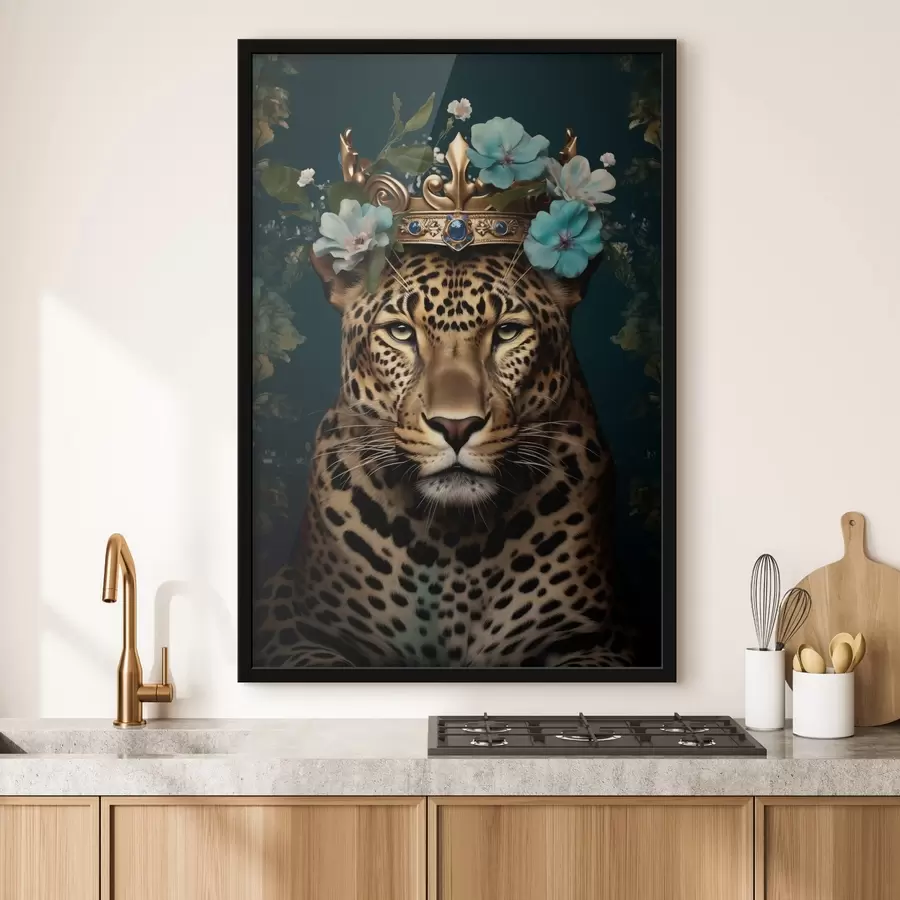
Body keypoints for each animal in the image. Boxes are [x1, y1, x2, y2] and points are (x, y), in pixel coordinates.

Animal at [252, 244, 632, 668]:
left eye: (507, 332)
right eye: (401, 332)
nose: (456, 426)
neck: (455, 541)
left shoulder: (598, 640)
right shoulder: (294, 624)